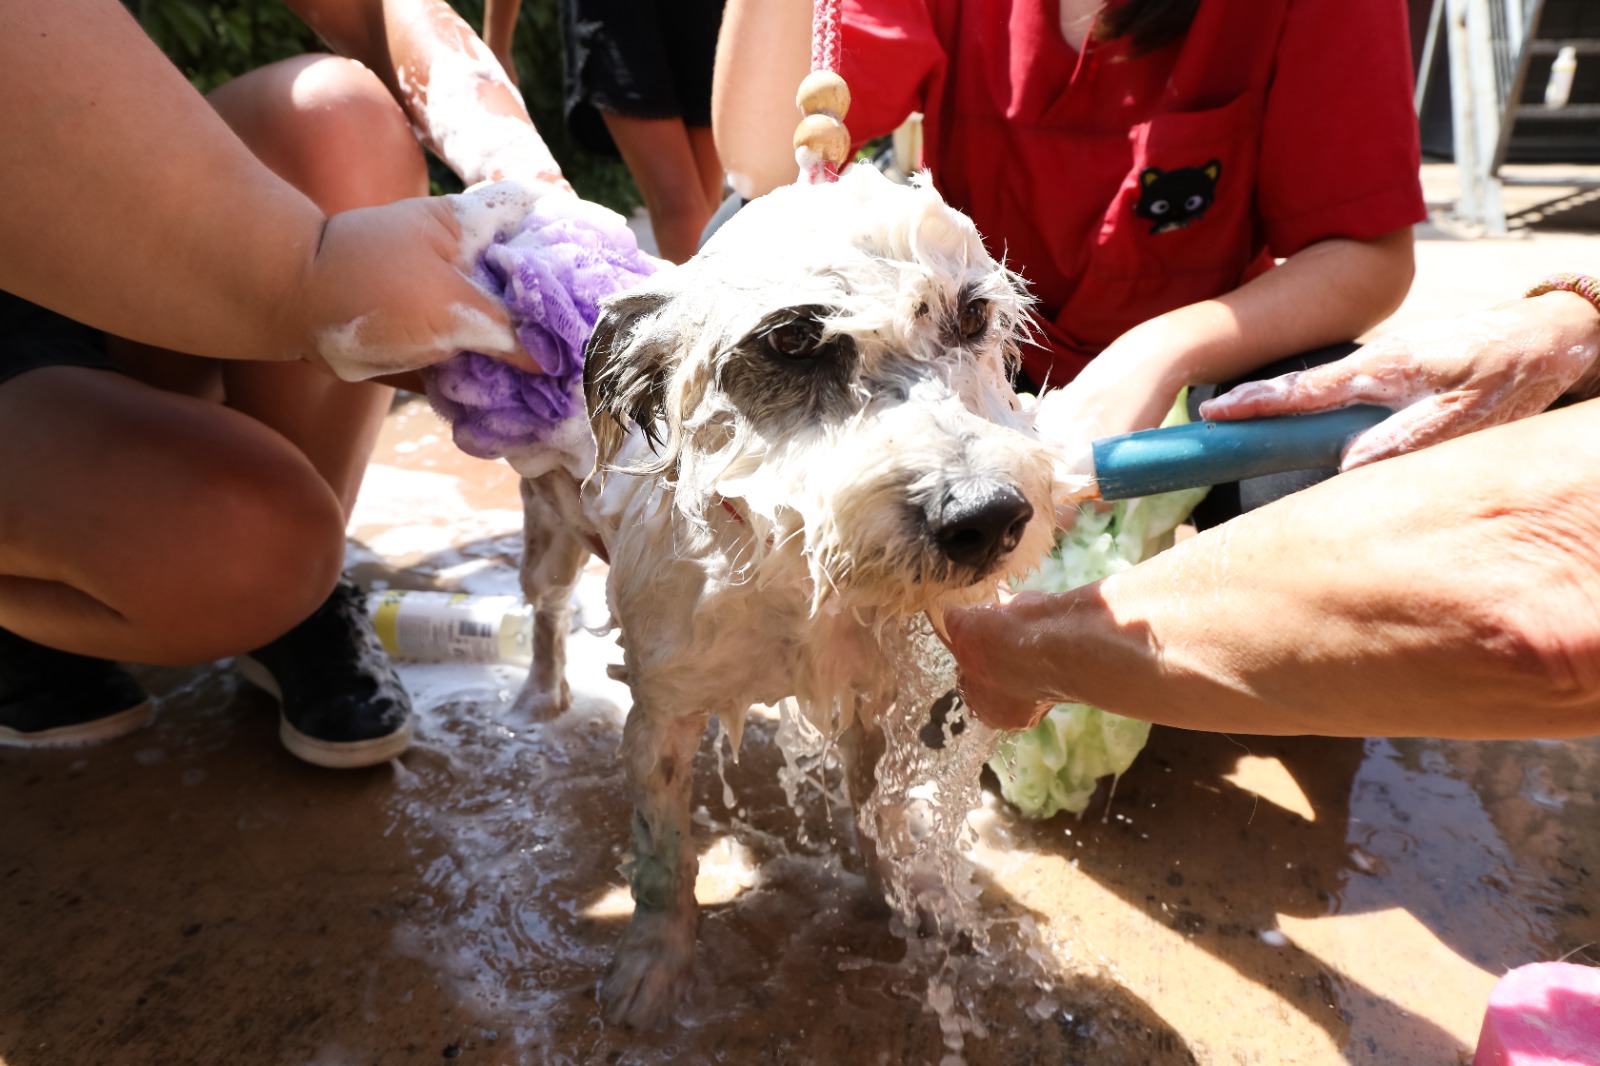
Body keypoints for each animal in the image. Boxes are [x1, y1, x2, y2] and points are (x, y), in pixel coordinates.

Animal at [518, 164, 1056, 1024]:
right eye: (793, 341)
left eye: (973, 314)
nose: (987, 517)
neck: (788, 569)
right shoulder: (662, 719)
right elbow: (662, 858)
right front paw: (654, 962)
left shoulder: (868, 696)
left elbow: (875, 813)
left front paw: (904, 894)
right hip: (550, 536)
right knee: (545, 607)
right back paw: (541, 693)